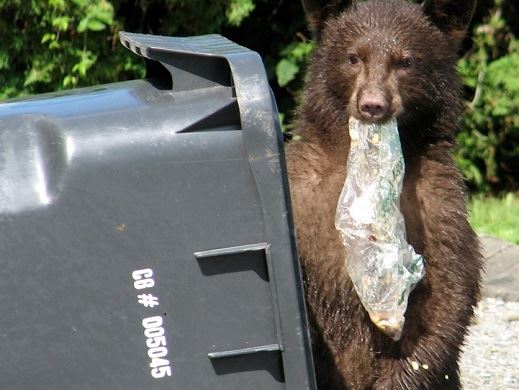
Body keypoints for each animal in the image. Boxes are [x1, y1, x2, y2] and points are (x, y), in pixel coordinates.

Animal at [284, 0, 484, 390]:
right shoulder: (300, 194)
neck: (366, 167)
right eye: (353, 57)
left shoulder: (439, 205)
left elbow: (448, 293)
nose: (372, 104)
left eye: (404, 61)